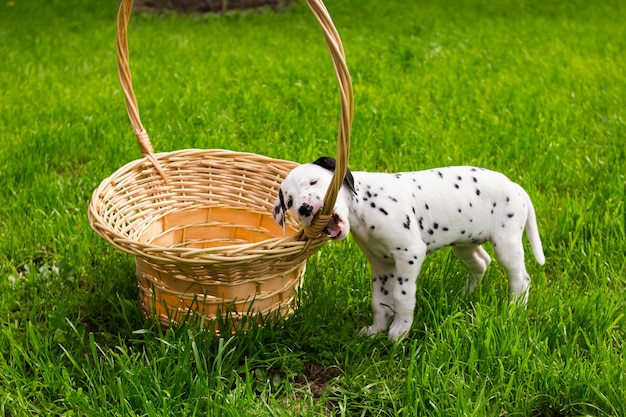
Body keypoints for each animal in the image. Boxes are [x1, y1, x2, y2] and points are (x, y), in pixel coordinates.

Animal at [272, 156, 540, 342]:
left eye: (314, 181)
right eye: (290, 202)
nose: (305, 208)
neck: (365, 204)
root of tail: (514, 186)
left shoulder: (409, 255)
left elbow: (401, 296)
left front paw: (399, 330)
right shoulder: (381, 266)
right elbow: (379, 300)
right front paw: (376, 329)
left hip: (506, 244)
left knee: (521, 279)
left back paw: (514, 311)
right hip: (464, 244)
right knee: (482, 263)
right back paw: (464, 295)